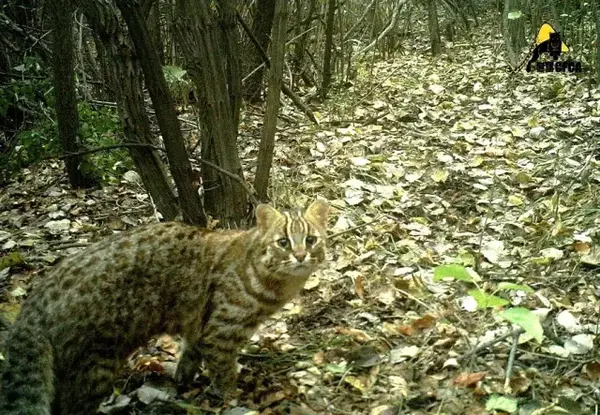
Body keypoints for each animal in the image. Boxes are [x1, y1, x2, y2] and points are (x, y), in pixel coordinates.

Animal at [0, 200, 328, 414]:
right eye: (283, 242)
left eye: (311, 240)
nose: (301, 255)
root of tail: (34, 305)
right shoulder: (221, 330)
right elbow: (223, 369)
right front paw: (229, 395)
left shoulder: (199, 326)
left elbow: (191, 352)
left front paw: (183, 378)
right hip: (96, 365)